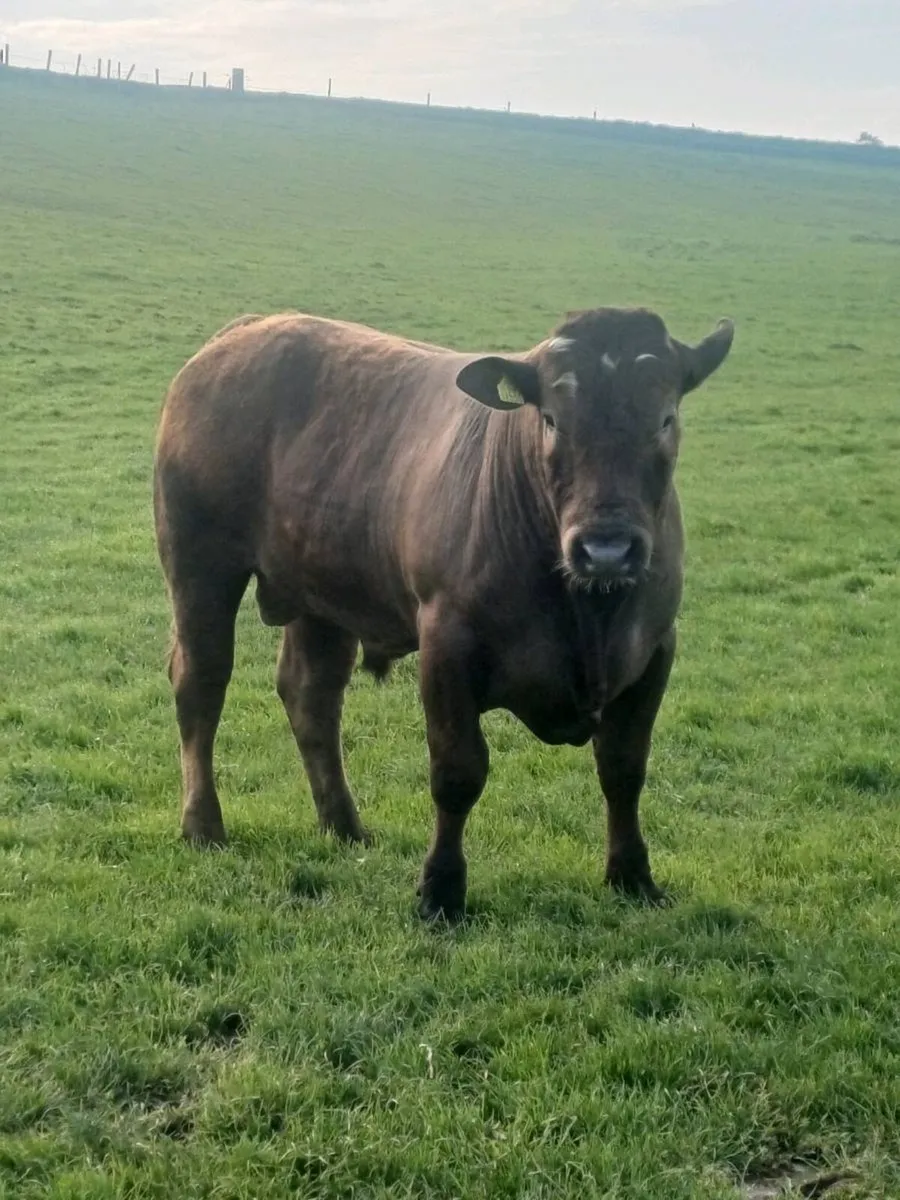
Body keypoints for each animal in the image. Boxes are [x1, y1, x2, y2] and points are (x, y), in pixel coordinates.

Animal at [153, 306, 734, 920]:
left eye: (665, 419)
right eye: (552, 419)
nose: (606, 548)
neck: (586, 612)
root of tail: (247, 328)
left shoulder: (655, 648)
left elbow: (624, 768)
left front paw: (633, 877)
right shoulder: (446, 645)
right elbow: (458, 772)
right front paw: (441, 890)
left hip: (323, 596)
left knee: (311, 698)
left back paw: (344, 825)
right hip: (199, 566)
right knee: (201, 684)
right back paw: (203, 825)